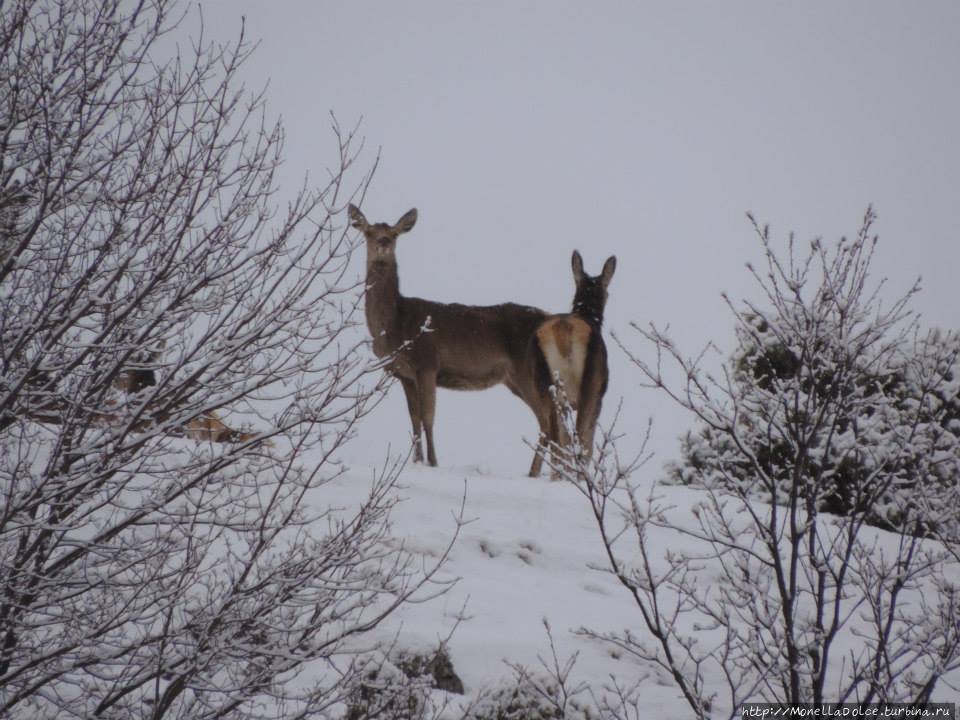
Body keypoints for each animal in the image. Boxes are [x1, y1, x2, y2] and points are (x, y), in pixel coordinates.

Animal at [348, 202, 556, 472]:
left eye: (394, 234)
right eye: (368, 232)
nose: (382, 243)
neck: (395, 327)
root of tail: (549, 321)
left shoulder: (427, 363)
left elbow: (428, 418)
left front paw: (433, 462)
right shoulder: (403, 373)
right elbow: (414, 419)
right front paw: (416, 461)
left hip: (526, 369)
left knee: (546, 420)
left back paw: (533, 473)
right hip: (521, 378)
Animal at [532, 250, 616, 476]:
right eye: (606, 289)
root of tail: (563, 329)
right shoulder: (599, 398)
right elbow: (588, 444)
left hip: (546, 388)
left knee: (556, 442)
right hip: (590, 384)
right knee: (578, 439)